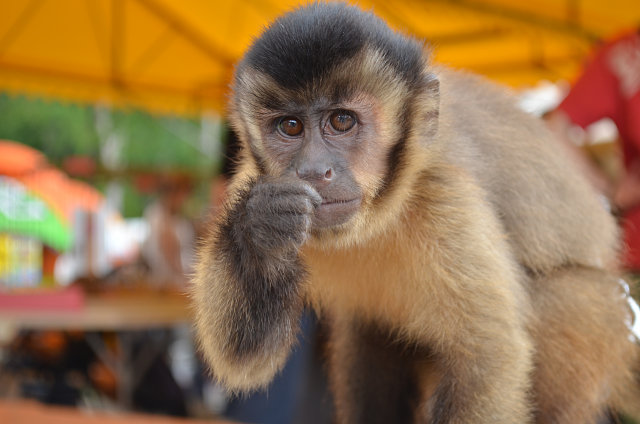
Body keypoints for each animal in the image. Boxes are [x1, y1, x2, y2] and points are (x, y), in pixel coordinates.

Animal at [191, 3, 640, 424]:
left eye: (341, 121)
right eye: (290, 127)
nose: (315, 170)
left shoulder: (445, 195)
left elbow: (487, 356)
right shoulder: (250, 180)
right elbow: (244, 356)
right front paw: (261, 232)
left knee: (569, 297)